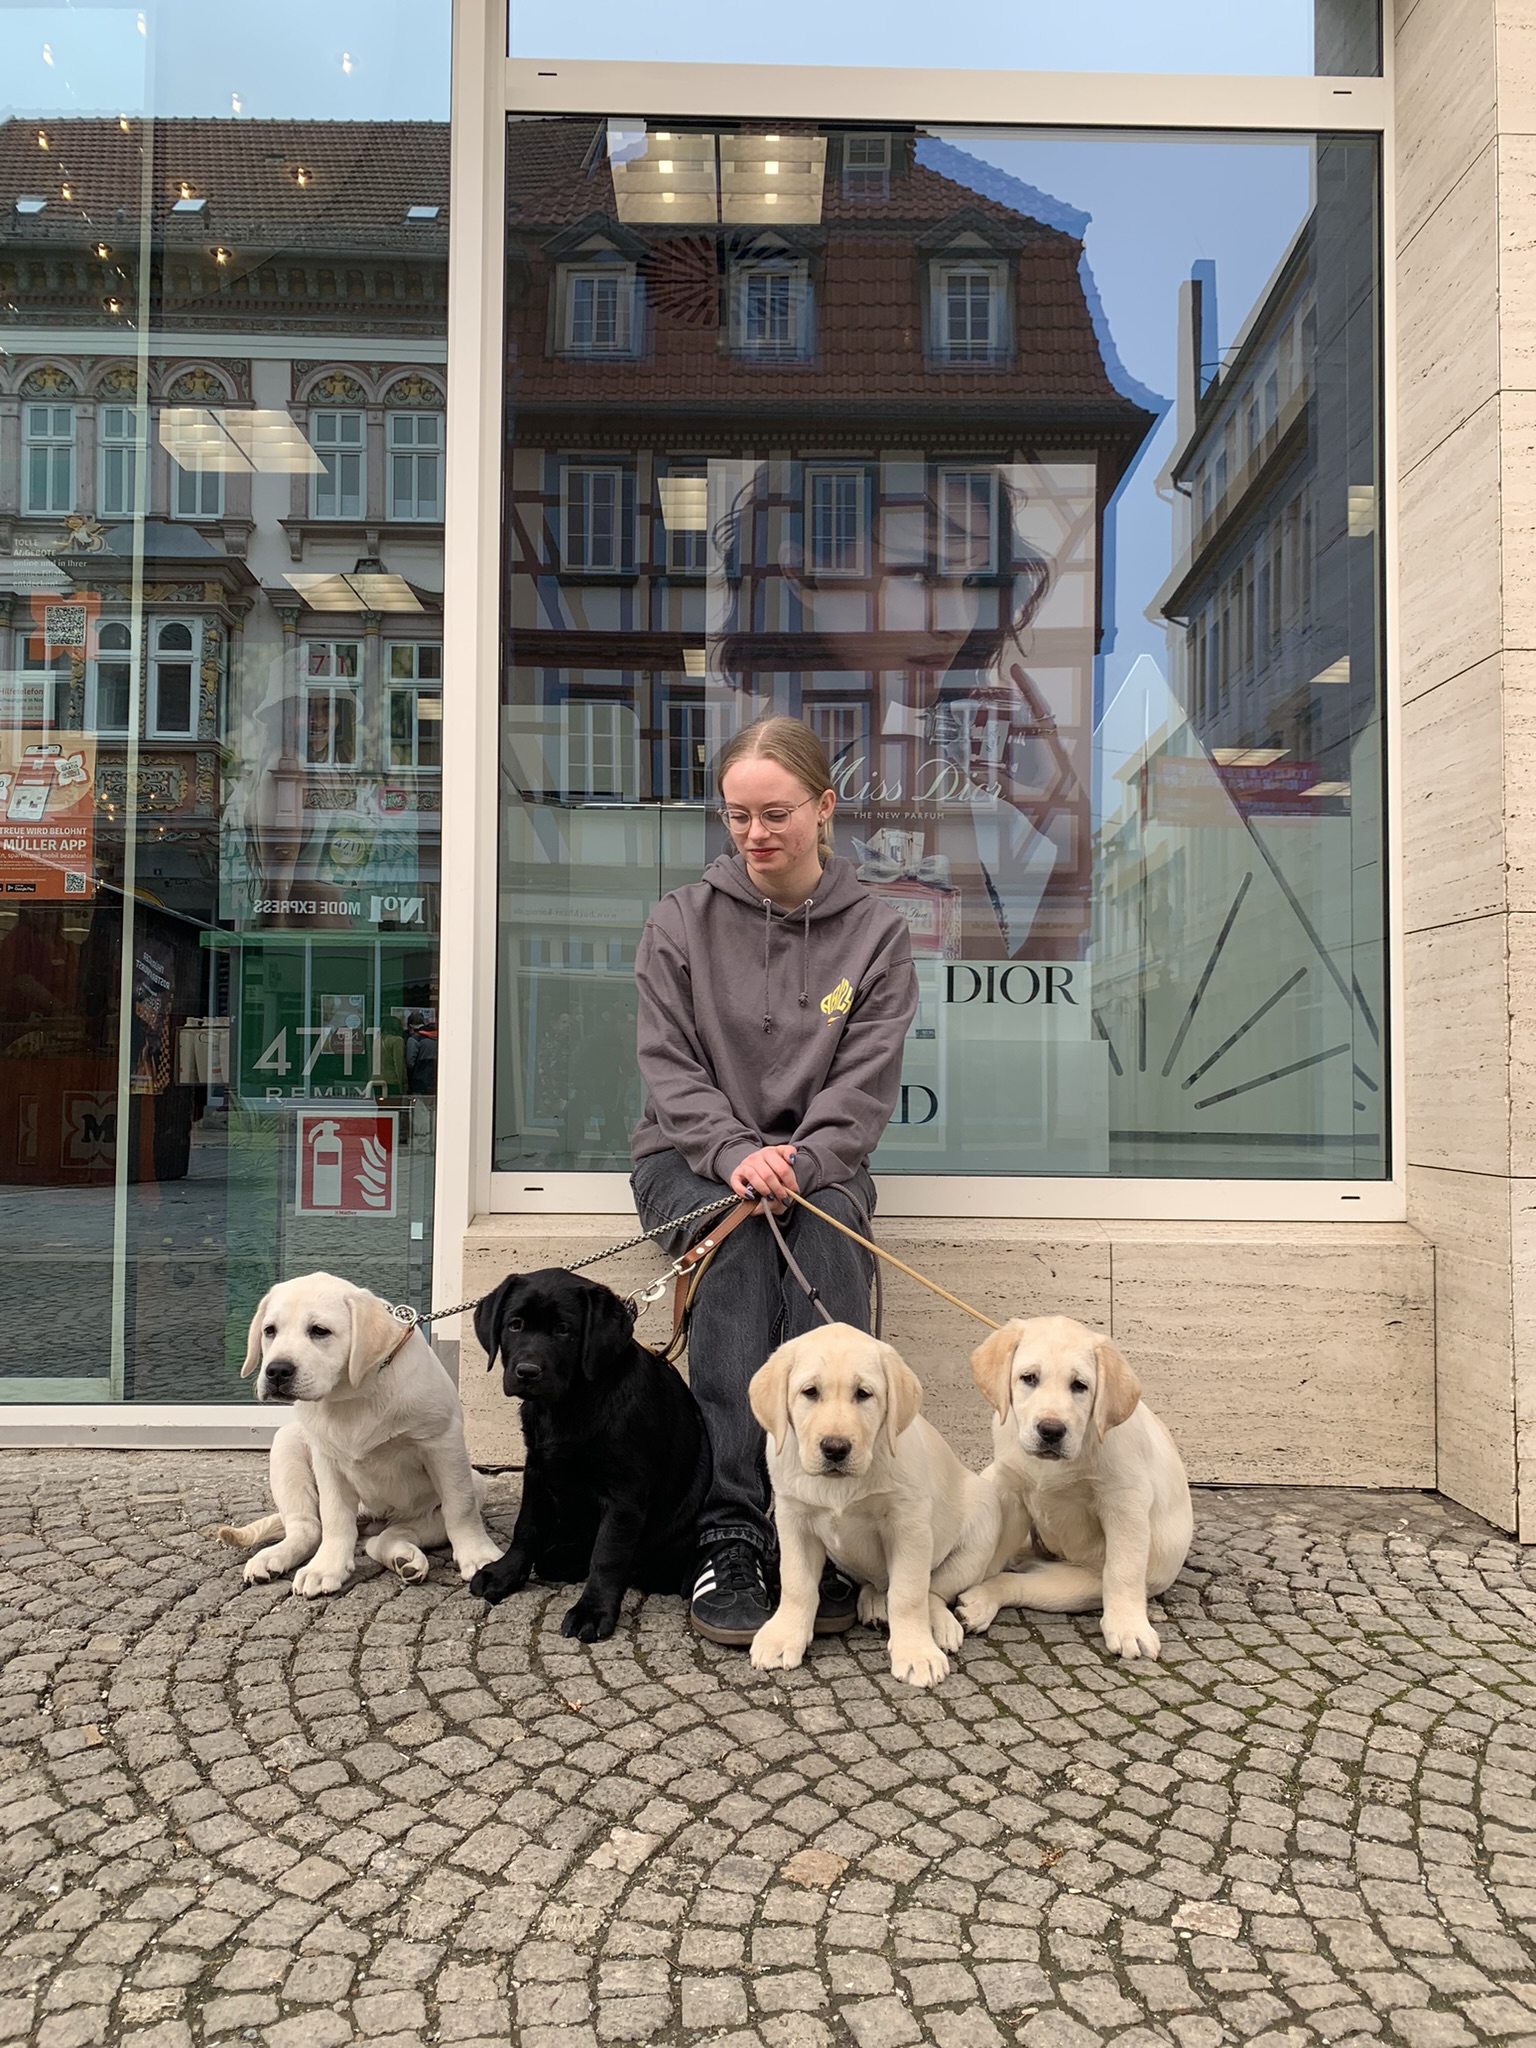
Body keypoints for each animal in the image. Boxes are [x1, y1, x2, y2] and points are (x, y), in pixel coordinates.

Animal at [216, 1273, 504, 1597]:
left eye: (320, 1331)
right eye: (269, 1331)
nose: (276, 1371)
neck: (352, 1393)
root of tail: (371, 1521)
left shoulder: (443, 1443)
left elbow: (460, 1508)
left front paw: (478, 1556)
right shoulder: (327, 1459)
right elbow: (334, 1518)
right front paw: (325, 1568)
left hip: (471, 1486)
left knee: (383, 1540)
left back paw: (405, 1559)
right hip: (287, 1443)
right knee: (308, 1527)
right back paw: (273, 1557)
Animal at [467, 1268, 712, 1642]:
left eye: (564, 1330)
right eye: (515, 1325)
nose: (527, 1372)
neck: (568, 1405)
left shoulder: (624, 1494)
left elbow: (608, 1554)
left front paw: (592, 1611)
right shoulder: (536, 1469)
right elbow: (527, 1526)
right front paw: (505, 1574)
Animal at [747, 1324, 1031, 1688]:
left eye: (863, 1394)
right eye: (809, 1392)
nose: (835, 1448)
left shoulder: (908, 1526)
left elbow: (908, 1594)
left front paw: (916, 1653)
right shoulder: (793, 1518)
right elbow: (797, 1584)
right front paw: (783, 1637)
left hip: (981, 1527)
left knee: (933, 1592)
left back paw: (942, 1626)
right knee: (878, 1584)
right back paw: (874, 1603)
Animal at [956, 1315, 1193, 1660]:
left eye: (1080, 1386)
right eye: (1029, 1378)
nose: (1051, 1430)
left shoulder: (1125, 1503)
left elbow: (1125, 1567)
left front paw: (1129, 1628)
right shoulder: (1010, 1493)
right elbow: (990, 1553)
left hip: (1075, 1586)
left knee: (1017, 1582)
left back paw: (982, 1600)